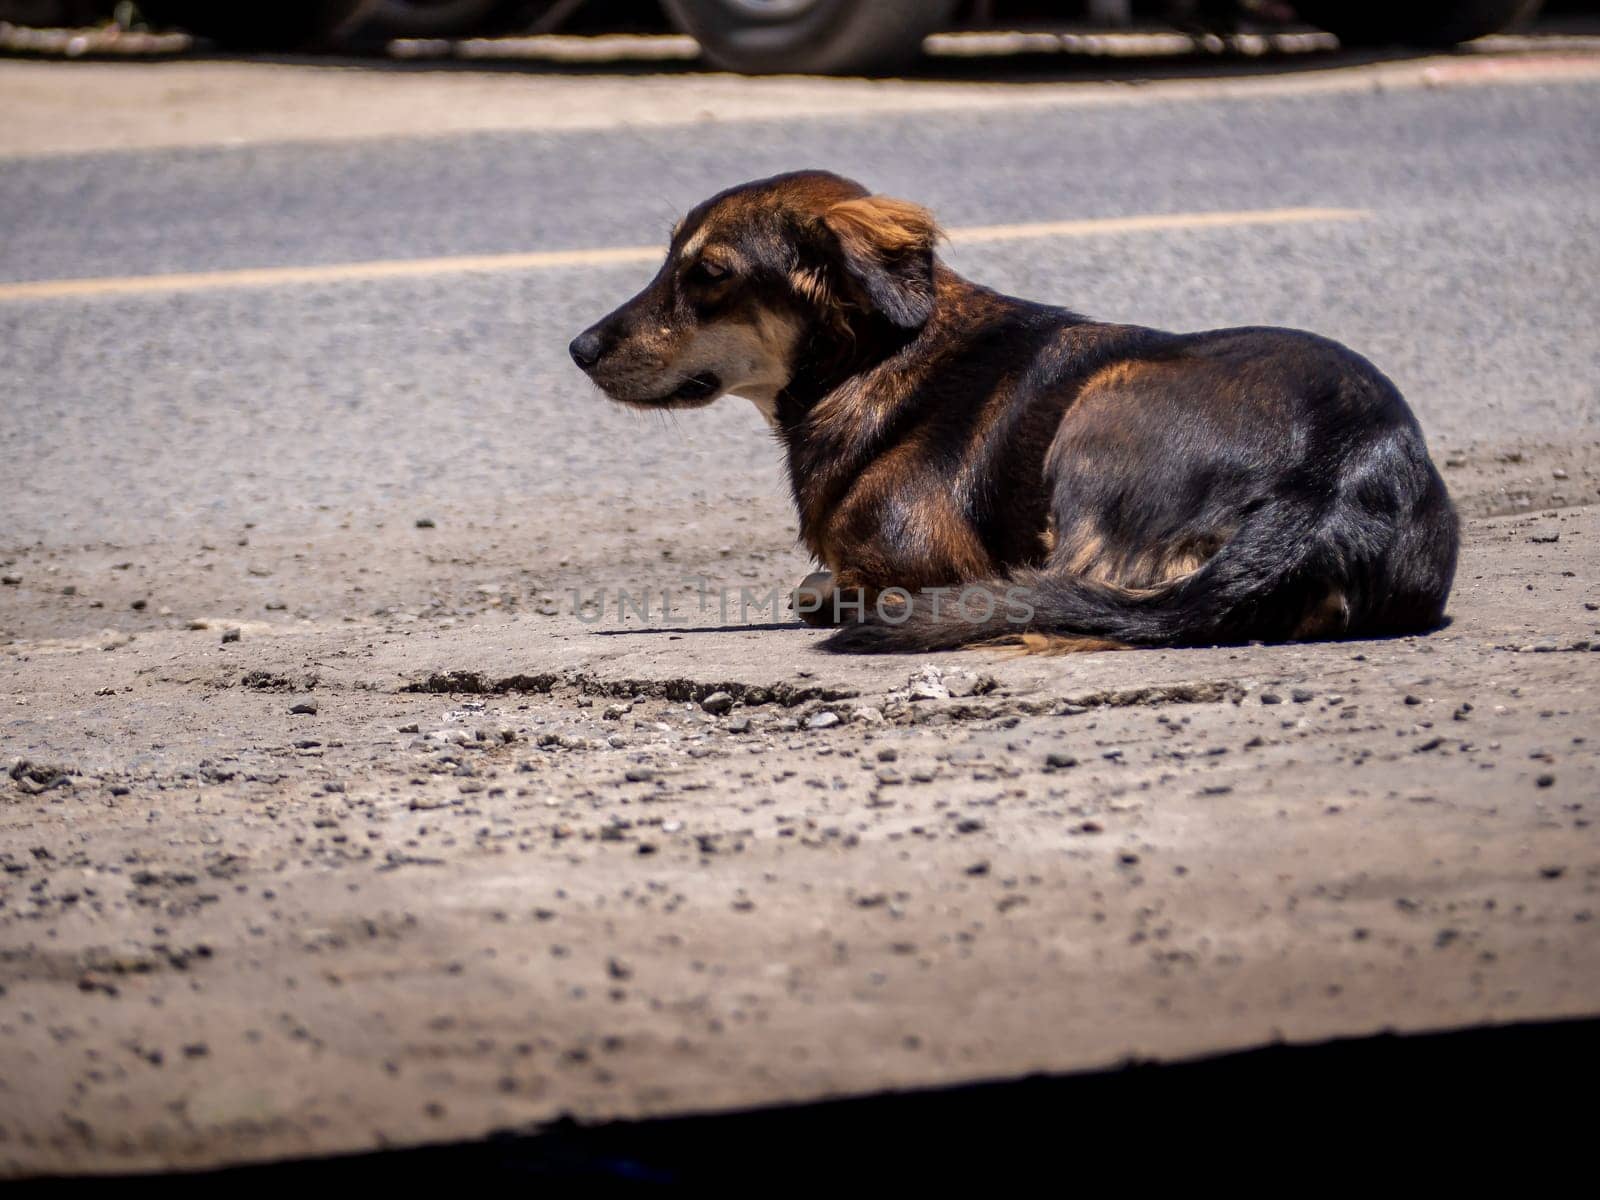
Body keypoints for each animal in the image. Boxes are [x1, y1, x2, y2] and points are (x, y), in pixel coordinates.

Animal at [576, 168, 1465, 652]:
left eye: (710, 274)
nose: (579, 347)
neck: (872, 357)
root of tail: (1333, 475)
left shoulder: (924, 552)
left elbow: (832, 583)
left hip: (1105, 401)